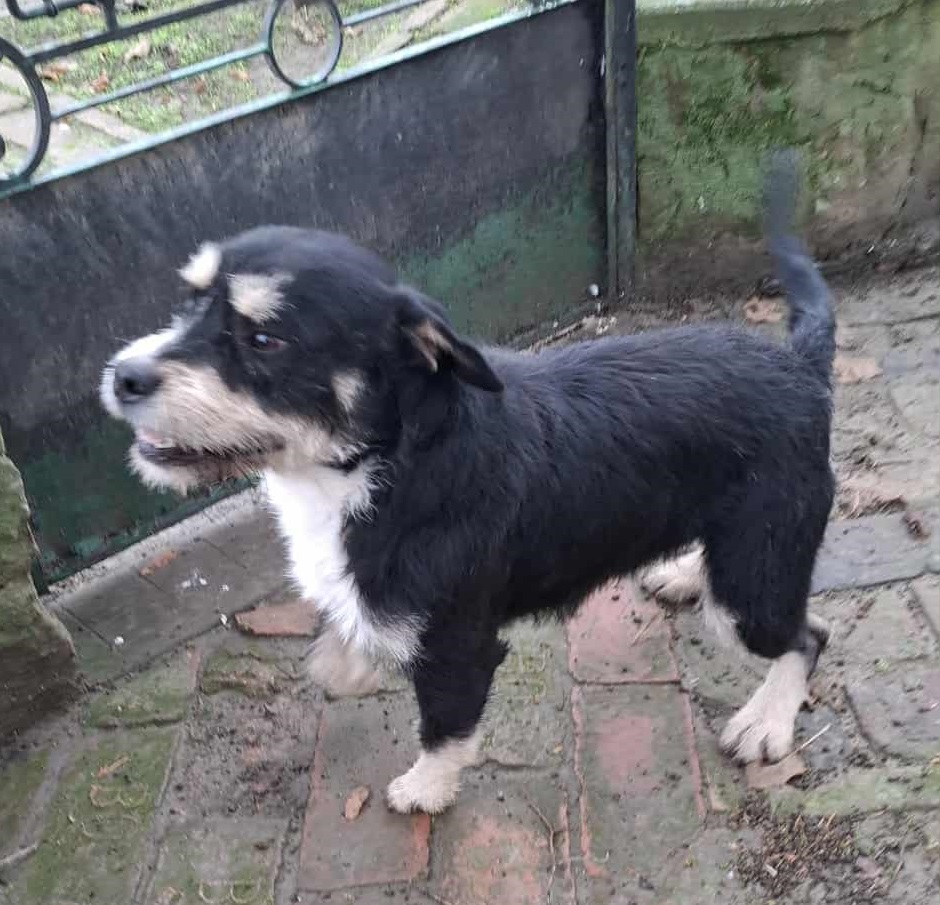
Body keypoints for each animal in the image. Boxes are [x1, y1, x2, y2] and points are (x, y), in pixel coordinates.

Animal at [100, 150, 835, 814]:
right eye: (188, 302)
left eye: (264, 339)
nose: (123, 376)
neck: (380, 466)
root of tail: (798, 366)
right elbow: (345, 635)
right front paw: (345, 662)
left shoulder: (457, 644)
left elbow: (446, 725)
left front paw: (426, 788)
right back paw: (683, 572)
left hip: (754, 580)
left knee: (808, 636)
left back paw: (766, 722)